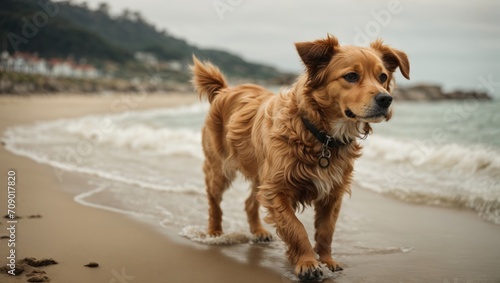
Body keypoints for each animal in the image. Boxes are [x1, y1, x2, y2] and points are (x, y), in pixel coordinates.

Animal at [191, 34, 410, 280]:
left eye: (382, 77)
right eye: (351, 76)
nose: (386, 99)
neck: (321, 135)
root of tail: (225, 90)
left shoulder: (332, 193)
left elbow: (326, 231)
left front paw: (327, 260)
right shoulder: (277, 190)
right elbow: (296, 228)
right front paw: (307, 263)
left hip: (260, 174)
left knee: (249, 202)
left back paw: (258, 231)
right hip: (219, 169)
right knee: (214, 201)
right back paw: (215, 233)